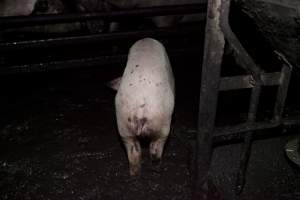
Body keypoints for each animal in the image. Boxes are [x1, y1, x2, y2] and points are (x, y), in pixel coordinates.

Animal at [109, 37, 175, 175]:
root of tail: (141, 109)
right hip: (161, 124)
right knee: (155, 149)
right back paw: (157, 170)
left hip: (124, 124)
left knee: (133, 151)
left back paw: (134, 173)